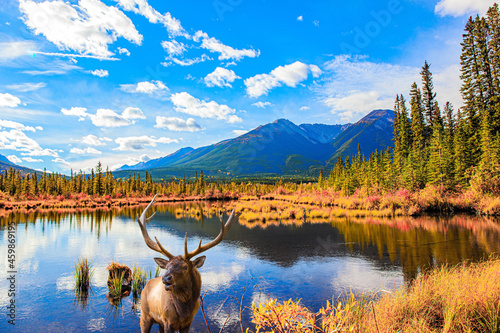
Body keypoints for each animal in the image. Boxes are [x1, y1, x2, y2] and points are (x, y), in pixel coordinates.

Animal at [137, 195, 236, 332]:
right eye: (167, 267)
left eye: (185, 267)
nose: (165, 279)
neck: (184, 312)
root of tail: (146, 285)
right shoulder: (167, 322)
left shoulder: (188, 323)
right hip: (145, 315)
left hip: (159, 322)